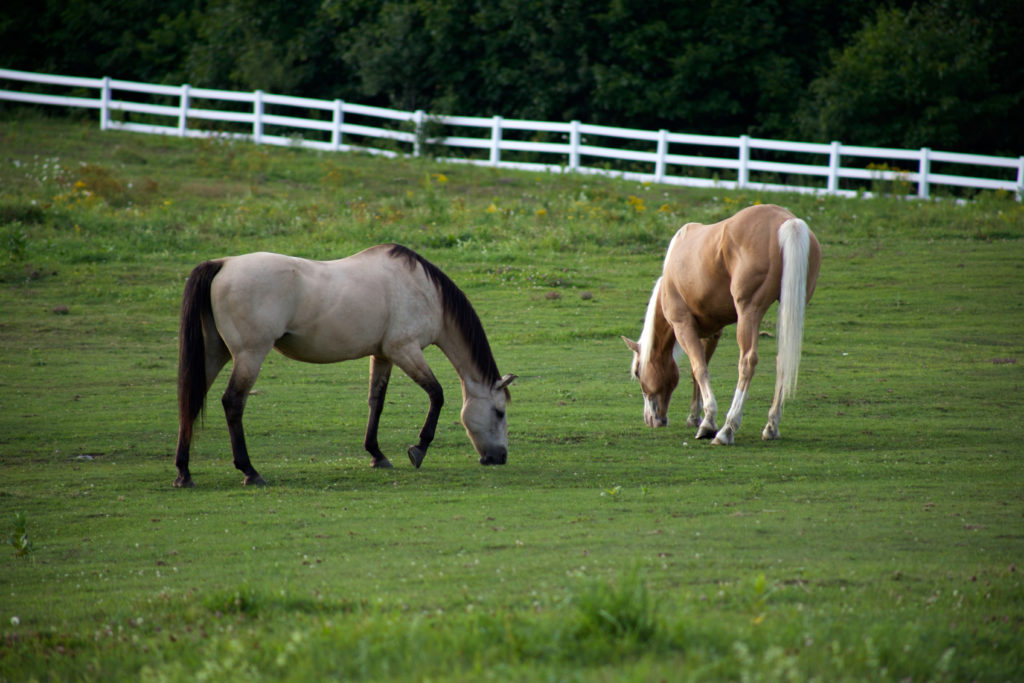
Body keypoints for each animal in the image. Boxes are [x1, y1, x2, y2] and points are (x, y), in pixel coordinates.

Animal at [174, 243, 516, 487]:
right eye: (499, 412)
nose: (500, 458)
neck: (424, 290)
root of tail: (223, 264)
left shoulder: (383, 355)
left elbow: (376, 402)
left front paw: (377, 454)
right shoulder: (405, 350)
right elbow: (437, 394)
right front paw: (418, 449)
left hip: (215, 353)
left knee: (190, 401)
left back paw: (184, 473)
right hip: (249, 355)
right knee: (232, 403)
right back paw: (249, 471)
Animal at [623, 204, 821, 445]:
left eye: (637, 372)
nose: (651, 420)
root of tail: (788, 221)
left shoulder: (683, 326)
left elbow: (699, 369)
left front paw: (708, 423)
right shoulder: (712, 332)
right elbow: (698, 370)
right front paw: (694, 416)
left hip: (748, 313)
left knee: (747, 362)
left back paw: (727, 429)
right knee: (783, 360)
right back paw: (771, 426)